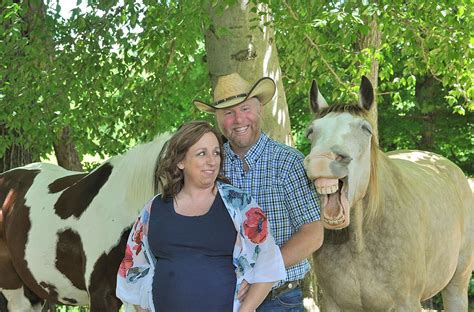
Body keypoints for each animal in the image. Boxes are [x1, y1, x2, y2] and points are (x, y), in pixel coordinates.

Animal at [306, 77, 472, 310]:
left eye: (366, 129)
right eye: (311, 131)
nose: (321, 160)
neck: (359, 243)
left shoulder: (406, 303)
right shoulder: (332, 304)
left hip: (457, 283)